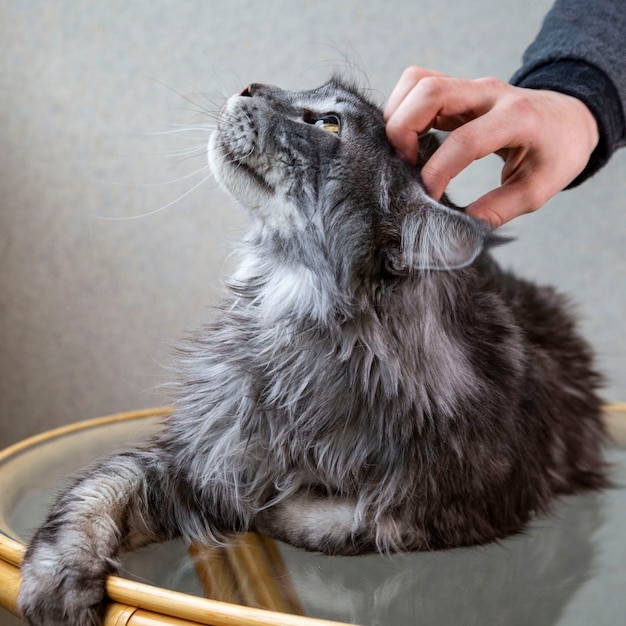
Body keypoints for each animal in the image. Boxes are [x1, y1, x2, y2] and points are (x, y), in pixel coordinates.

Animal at [19, 78, 604, 624]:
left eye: (327, 124)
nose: (251, 84)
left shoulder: (466, 507)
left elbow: (338, 521)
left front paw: (257, 509)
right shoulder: (190, 452)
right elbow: (94, 493)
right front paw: (57, 586)